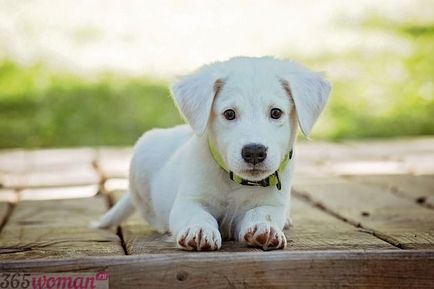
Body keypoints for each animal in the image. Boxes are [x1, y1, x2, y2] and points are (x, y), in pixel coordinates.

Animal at [97, 56, 328, 250]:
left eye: (276, 112)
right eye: (229, 114)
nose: (254, 152)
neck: (234, 182)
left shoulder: (271, 203)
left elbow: (263, 213)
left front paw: (265, 228)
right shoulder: (188, 201)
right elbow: (198, 215)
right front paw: (199, 230)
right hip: (142, 158)